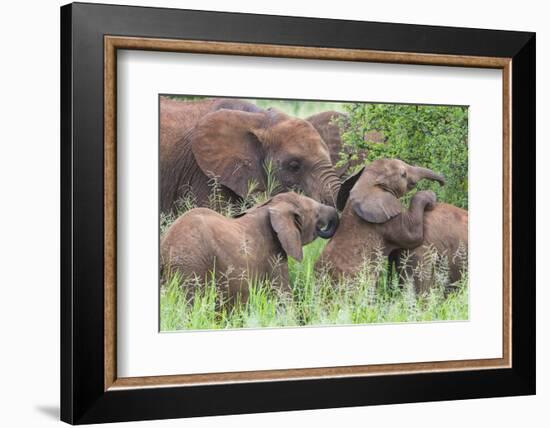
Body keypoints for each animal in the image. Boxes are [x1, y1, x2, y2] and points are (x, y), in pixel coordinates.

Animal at [316, 158, 446, 280]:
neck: (367, 182)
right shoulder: (386, 221)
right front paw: (431, 197)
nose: (442, 183)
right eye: (403, 174)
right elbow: (413, 236)